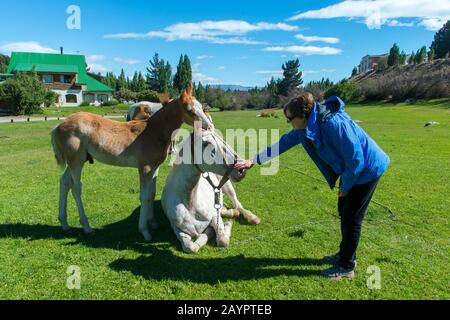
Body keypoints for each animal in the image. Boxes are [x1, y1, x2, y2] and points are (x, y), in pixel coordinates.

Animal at [51, 86, 213, 241]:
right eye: (190, 110)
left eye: (201, 107)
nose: (209, 127)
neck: (154, 131)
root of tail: (58, 126)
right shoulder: (144, 169)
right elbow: (143, 197)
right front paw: (145, 231)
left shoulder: (155, 167)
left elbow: (151, 194)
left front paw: (153, 222)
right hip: (76, 161)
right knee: (76, 188)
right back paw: (87, 227)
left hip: (78, 160)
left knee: (64, 182)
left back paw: (64, 223)